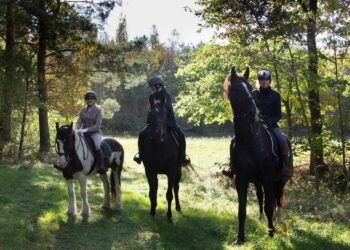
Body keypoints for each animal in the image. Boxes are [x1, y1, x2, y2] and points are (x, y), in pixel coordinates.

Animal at [139, 95, 183, 223]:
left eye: (165, 113)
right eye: (151, 113)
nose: (159, 135)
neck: (159, 146)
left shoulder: (171, 172)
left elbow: (169, 194)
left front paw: (169, 215)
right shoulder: (149, 171)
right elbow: (152, 192)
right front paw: (152, 211)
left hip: (178, 171)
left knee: (176, 188)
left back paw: (178, 207)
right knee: (157, 187)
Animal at [223, 67, 292, 244]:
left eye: (249, 89)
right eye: (238, 90)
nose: (255, 113)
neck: (250, 141)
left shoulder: (267, 178)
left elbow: (269, 206)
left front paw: (271, 233)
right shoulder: (241, 179)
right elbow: (242, 210)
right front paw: (240, 238)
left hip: (280, 180)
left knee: (278, 198)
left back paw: (279, 221)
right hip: (257, 181)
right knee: (261, 197)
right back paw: (261, 219)